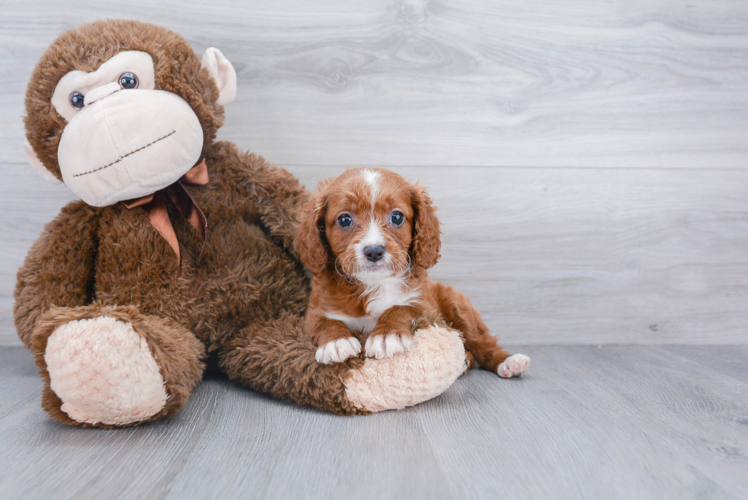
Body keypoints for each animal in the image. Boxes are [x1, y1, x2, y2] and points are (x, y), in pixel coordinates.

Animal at [294, 166, 532, 376]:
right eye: (344, 219)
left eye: (397, 217)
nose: (374, 251)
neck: (373, 284)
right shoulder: (313, 314)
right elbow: (325, 323)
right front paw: (336, 342)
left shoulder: (426, 306)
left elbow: (401, 308)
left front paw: (386, 335)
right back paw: (465, 361)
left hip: (457, 305)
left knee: (482, 342)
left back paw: (508, 362)